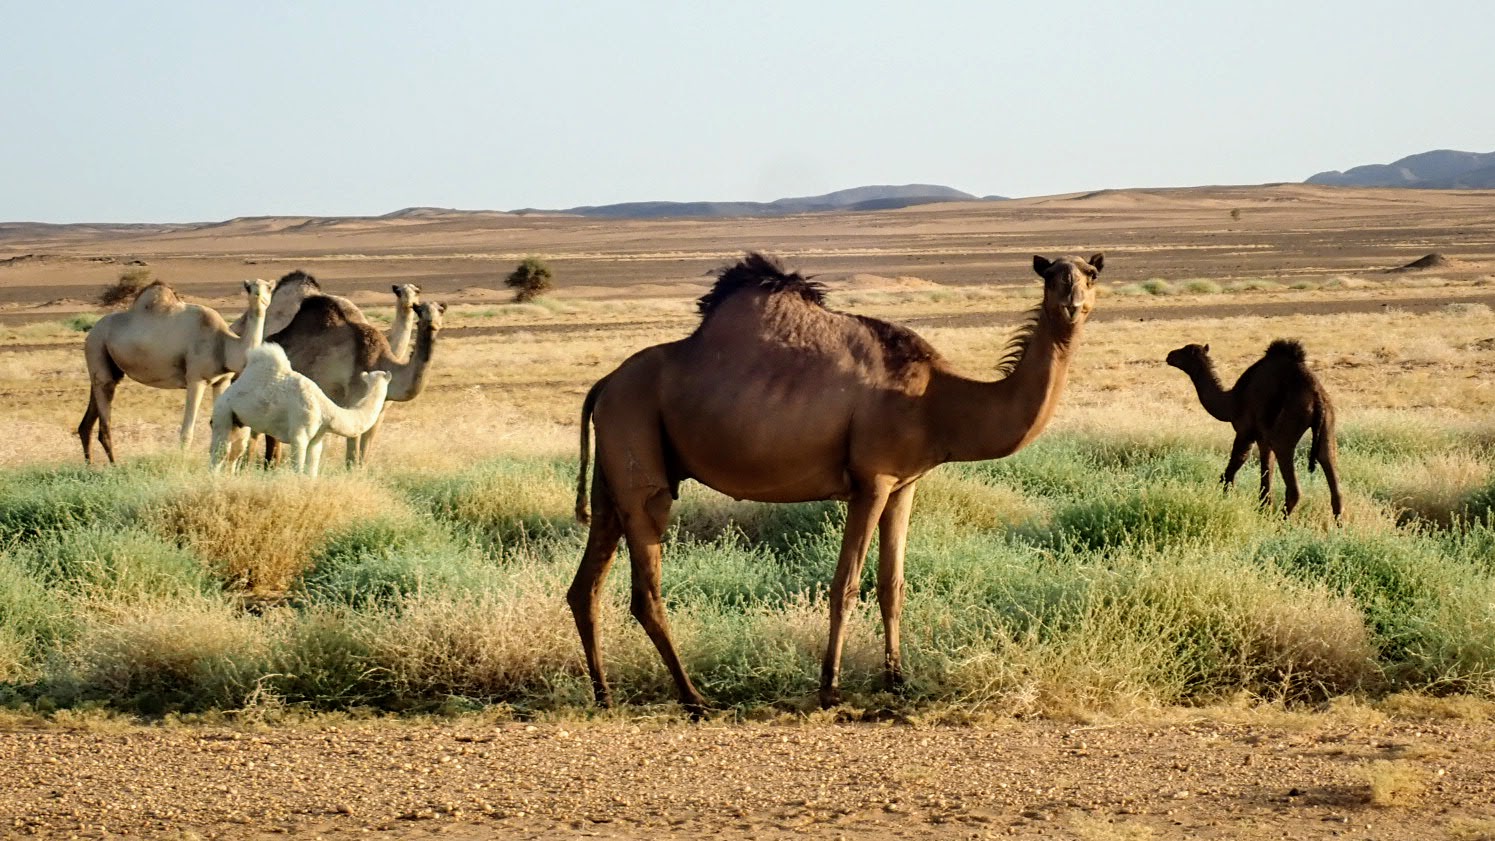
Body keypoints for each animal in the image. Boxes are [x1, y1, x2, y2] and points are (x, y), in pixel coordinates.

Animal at [78, 277, 273, 463]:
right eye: (248, 288)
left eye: (269, 288)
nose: (258, 297)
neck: (225, 345)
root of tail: (92, 331)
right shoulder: (196, 379)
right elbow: (187, 432)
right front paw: (182, 465)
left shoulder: (221, 381)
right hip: (96, 345)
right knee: (104, 421)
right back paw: (113, 466)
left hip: (106, 366)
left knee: (87, 421)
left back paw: (90, 466)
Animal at [213, 340, 397, 475]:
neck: (326, 410)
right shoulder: (299, 435)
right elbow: (298, 471)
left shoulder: (317, 440)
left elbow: (311, 473)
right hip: (222, 413)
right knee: (218, 453)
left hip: (240, 422)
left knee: (235, 452)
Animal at [264, 295, 442, 466]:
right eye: (420, 313)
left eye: (440, 311)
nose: (432, 324)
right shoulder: (355, 401)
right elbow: (352, 457)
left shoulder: (379, 413)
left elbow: (364, 457)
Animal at [568, 252, 1100, 717]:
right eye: (1052, 274)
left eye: (1091, 273)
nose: (1072, 302)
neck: (938, 402)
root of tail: (605, 384)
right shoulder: (872, 481)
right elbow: (845, 585)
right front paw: (830, 689)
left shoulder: (904, 486)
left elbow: (892, 584)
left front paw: (897, 680)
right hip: (640, 459)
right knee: (645, 590)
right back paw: (695, 699)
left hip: (611, 478)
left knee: (585, 587)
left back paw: (605, 696)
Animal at [1154, 339, 1345, 516]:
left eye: (1185, 351)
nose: (1170, 355)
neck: (1231, 401)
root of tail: (1317, 397)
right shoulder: (1263, 438)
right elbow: (1266, 475)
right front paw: (1262, 509)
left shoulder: (1245, 431)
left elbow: (1236, 464)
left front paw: (1225, 499)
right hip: (1328, 422)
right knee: (1329, 464)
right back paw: (1338, 526)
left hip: (1289, 424)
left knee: (1293, 486)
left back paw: (1281, 523)